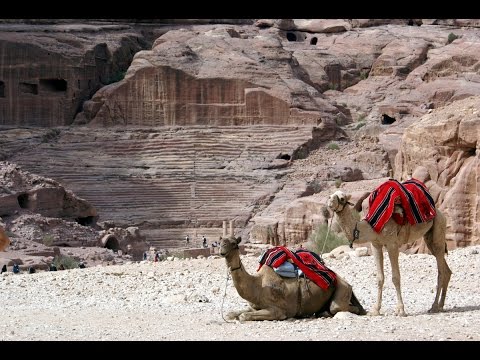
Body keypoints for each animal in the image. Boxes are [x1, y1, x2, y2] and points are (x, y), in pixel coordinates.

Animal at [219, 235, 366, 322]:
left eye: (234, 243)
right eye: (220, 242)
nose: (222, 251)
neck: (257, 285)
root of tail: (346, 283)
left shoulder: (278, 311)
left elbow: (243, 316)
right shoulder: (255, 306)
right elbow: (231, 313)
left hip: (341, 289)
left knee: (340, 308)